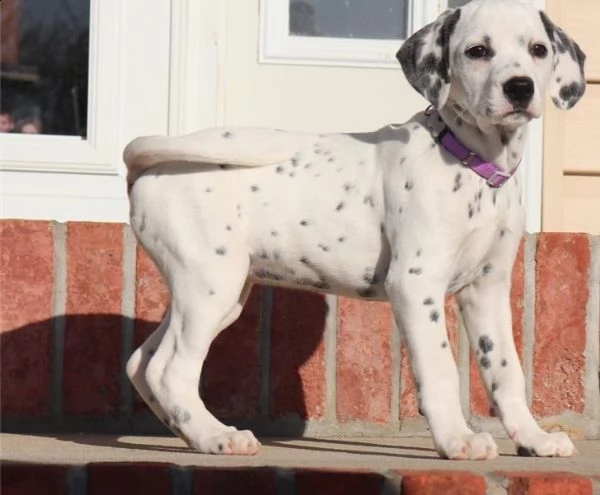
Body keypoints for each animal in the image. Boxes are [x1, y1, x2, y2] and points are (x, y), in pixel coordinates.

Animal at [123, 0, 584, 462]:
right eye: (477, 51)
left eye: (539, 49)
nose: (520, 88)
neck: (472, 163)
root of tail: (149, 166)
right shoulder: (416, 284)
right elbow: (440, 370)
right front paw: (457, 439)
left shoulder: (487, 288)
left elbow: (506, 371)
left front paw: (533, 438)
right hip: (211, 286)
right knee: (170, 369)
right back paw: (215, 436)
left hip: (215, 294)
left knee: (142, 363)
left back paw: (189, 431)